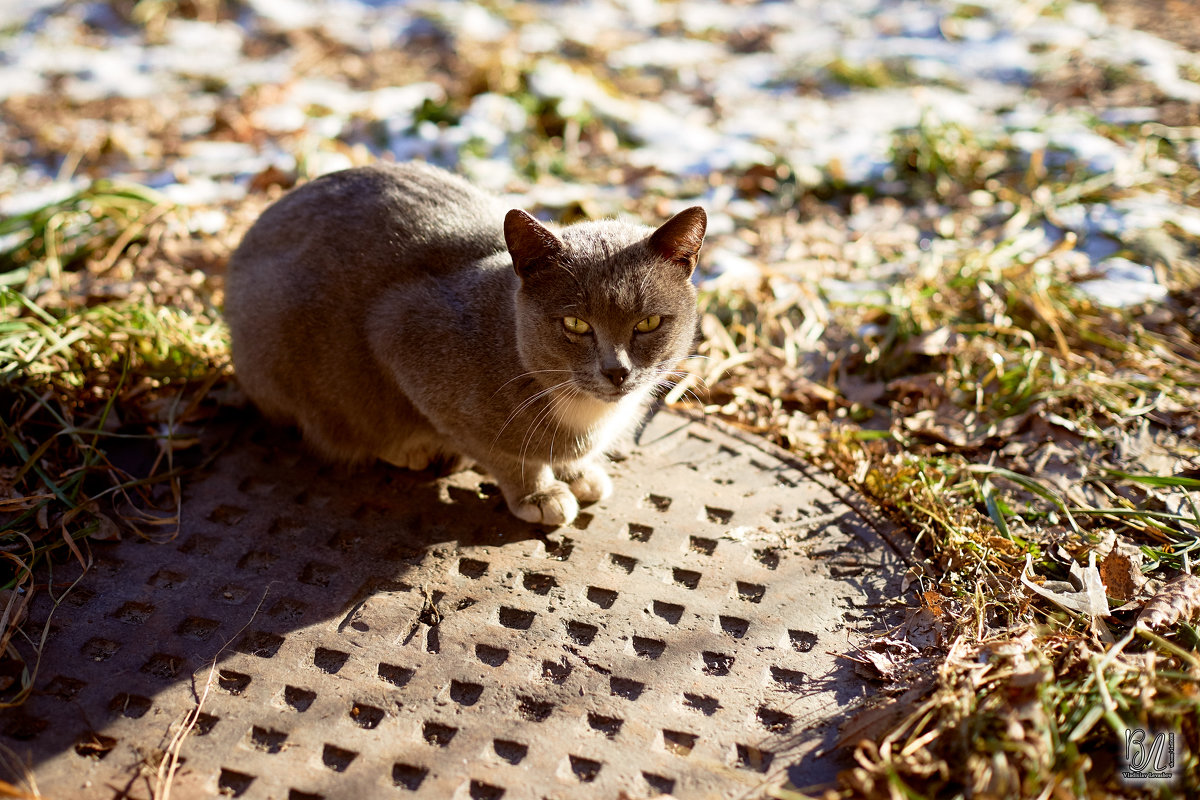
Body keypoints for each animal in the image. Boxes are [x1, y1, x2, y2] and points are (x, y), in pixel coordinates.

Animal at [225, 160, 700, 525]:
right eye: (576, 324)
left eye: (648, 322)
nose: (616, 371)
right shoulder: (401, 334)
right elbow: (504, 453)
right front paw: (539, 493)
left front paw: (578, 471)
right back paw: (412, 449)